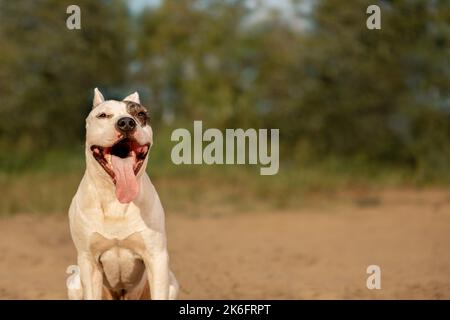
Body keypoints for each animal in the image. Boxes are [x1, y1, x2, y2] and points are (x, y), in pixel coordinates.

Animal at [67, 88, 179, 300]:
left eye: (140, 114)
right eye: (103, 115)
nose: (126, 122)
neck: (115, 200)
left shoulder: (156, 257)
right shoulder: (88, 261)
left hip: (172, 284)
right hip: (74, 283)